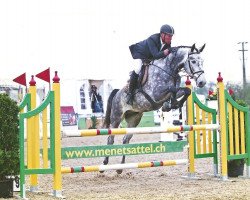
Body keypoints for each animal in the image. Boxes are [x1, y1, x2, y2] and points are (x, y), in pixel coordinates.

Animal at [102, 43, 206, 173]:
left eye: (202, 61)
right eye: (193, 61)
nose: (202, 82)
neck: (169, 70)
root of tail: (116, 93)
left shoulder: (174, 92)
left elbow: (186, 90)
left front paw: (172, 104)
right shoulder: (156, 94)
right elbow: (172, 89)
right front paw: (170, 104)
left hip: (134, 119)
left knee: (126, 139)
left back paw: (120, 168)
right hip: (116, 117)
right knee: (110, 138)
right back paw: (104, 164)